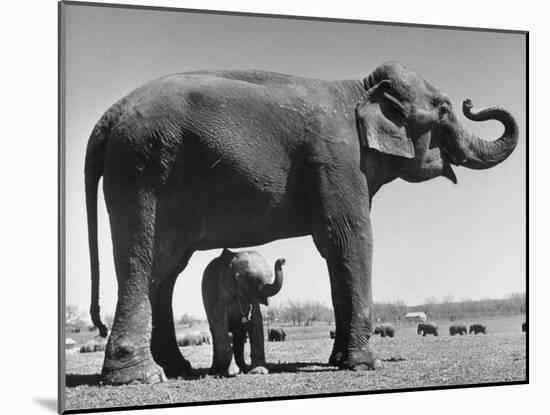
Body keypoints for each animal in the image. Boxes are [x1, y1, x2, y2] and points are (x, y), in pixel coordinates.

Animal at [204, 249, 288, 378]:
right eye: (249, 278)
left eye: (270, 275)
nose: (282, 260)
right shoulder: (219, 291)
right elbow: (220, 322)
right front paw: (230, 373)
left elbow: (256, 319)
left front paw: (259, 371)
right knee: (216, 332)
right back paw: (215, 371)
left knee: (239, 335)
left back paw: (243, 368)